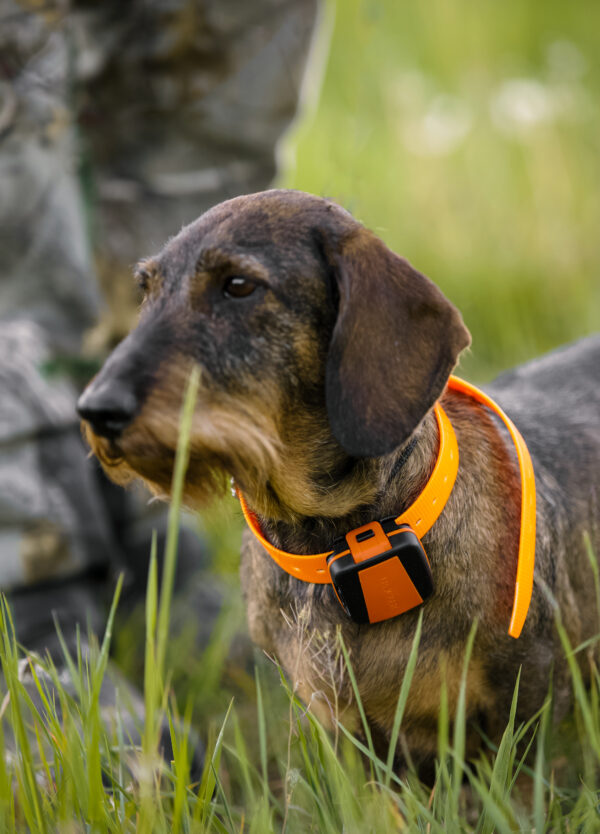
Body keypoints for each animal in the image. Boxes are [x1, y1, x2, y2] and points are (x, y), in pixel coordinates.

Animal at [78, 188, 600, 772]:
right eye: (146, 290)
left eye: (239, 285)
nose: (96, 410)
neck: (347, 540)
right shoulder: (343, 728)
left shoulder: (528, 705)